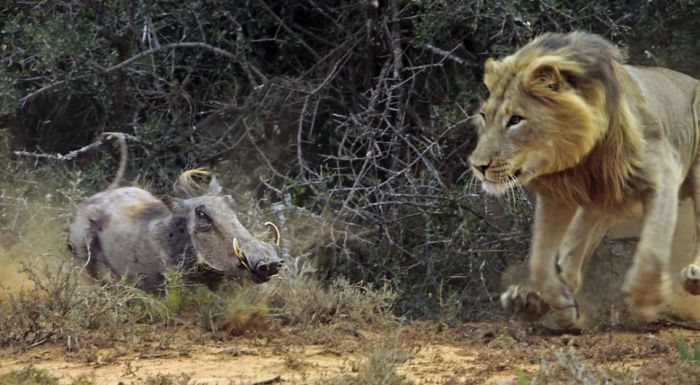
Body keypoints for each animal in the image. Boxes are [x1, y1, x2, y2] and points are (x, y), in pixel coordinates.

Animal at [468, 31, 700, 328]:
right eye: (483, 115)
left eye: (515, 120)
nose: (478, 166)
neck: (580, 160)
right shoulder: (557, 195)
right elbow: (540, 262)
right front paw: (561, 305)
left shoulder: (663, 174)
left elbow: (652, 250)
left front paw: (646, 302)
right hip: (603, 202)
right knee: (571, 256)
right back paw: (529, 301)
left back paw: (693, 278)